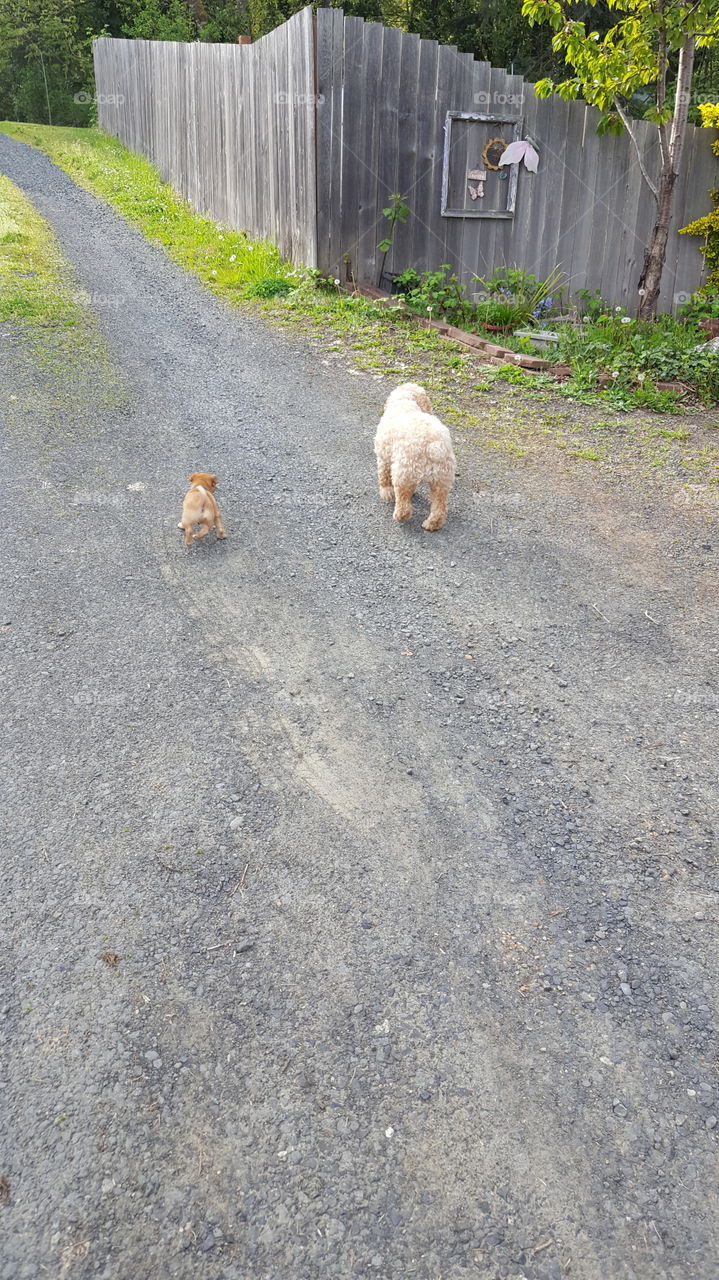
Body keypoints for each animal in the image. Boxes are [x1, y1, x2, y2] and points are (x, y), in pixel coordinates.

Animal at [376, 378, 452, 529]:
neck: (405, 401)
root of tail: (434, 446)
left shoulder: (383, 456)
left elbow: (384, 476)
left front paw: (386, 492)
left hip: (404, 473)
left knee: (403, 505)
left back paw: (399, 516)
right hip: (442, 480)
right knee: (440, 506)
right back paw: (431, 524)